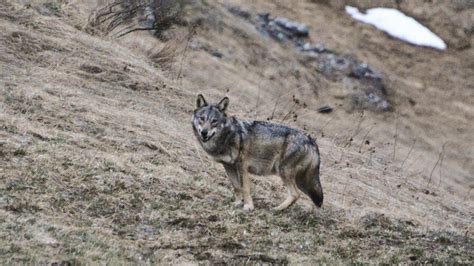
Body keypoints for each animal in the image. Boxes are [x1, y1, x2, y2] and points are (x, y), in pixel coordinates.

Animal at [192, 94, 322, 211]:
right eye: (202, 119)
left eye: (214, 121)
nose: (204, 132)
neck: (227, 136)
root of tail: (311, 141)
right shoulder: (228, 166)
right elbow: (236, 187)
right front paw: (237, 203)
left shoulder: (242, 166)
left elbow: (245, 188)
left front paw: (248, 206)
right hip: (300, 181)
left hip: (284, 172)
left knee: (296, 194)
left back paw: (277, 209)